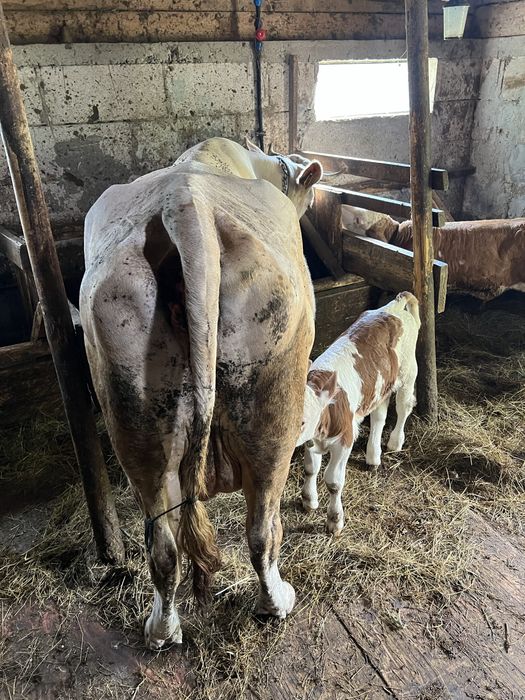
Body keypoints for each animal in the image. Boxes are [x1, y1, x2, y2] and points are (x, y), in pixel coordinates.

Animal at [79, 137, 322, 648]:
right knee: (262, 526)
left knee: (163, 542)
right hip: (275, 401)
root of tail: (185, 205)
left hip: (129, 396)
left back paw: (161, 629)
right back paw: (277, 602)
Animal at [296, 292, 420, 536]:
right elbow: (310, 469)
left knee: (403, 407)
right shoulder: (311, 441)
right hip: (379, 386)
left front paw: (334, 520)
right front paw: (309, 500)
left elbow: (333, 482)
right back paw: (373, 456)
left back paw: (395, 443)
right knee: (379, 416)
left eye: (303, 421)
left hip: (408, 372)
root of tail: (394, 305)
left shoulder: (344, 439)